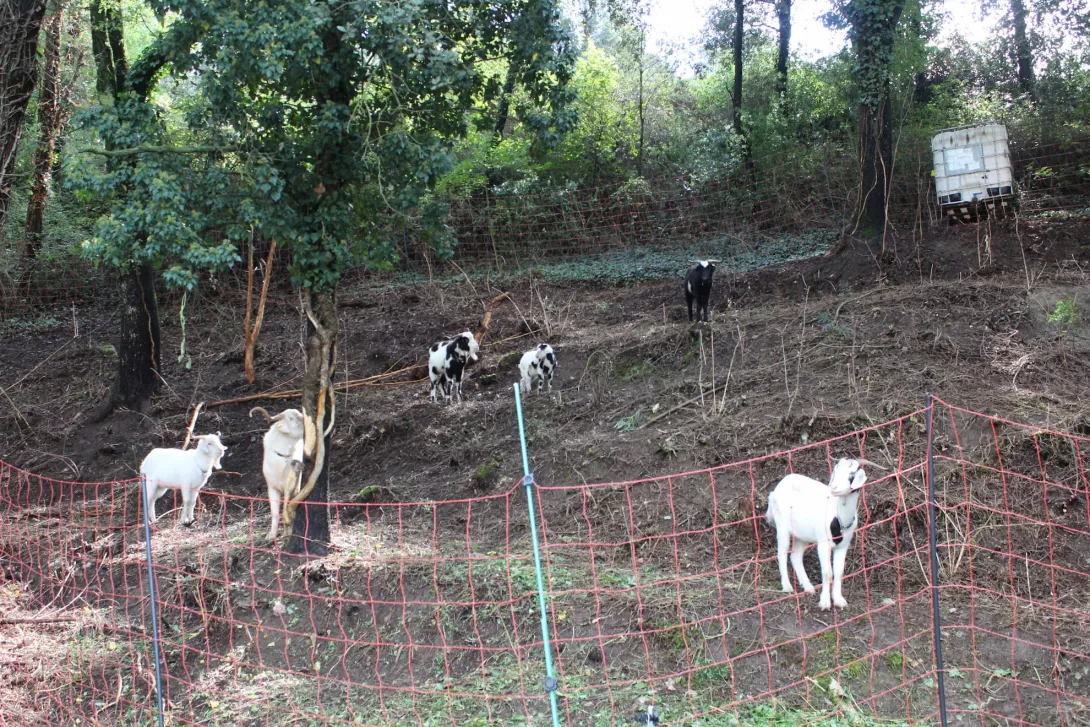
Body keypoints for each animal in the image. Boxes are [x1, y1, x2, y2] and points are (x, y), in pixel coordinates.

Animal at [250, 407, 307, 542]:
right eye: (291, 418)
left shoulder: (288, 488)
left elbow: (286, 509)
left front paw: (287, 534)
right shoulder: (272, 488)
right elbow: (275, 513)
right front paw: (271, 536)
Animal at [767, 457, 876, 610]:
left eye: (852, 474)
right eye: (835, 470)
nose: (833, 487)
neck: (839, 517)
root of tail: (777, 488)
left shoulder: (843, 545)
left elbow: (839, 572)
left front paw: (839, 600)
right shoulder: (823, 544)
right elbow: (827, 573)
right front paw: (824, 602)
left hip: (802, 535)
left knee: (795, 557)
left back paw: (808, 587)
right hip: (782, 525)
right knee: (781, 553)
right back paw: (787, 587)